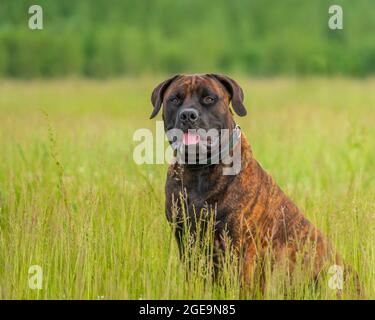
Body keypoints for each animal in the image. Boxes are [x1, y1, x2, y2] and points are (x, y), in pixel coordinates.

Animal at [151, 74, 358, 296]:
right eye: (175, 99)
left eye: (209, 98)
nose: (188, 115)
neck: (198, 171)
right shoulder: (186, 242)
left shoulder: (239, 248)